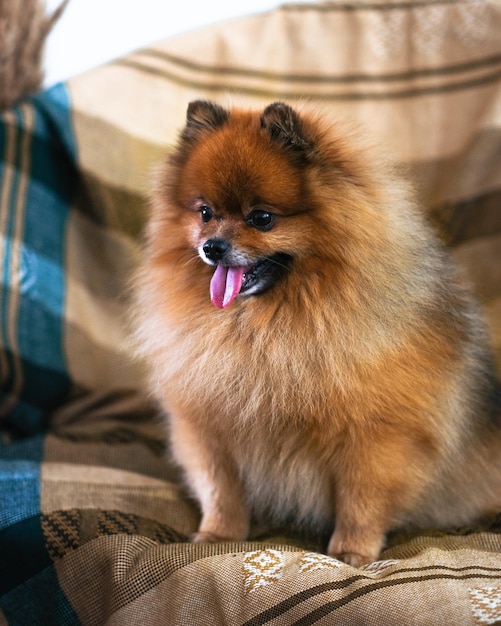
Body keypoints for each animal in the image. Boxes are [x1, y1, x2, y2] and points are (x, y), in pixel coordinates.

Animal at [133, 100, 500, 564]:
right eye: (205, 213)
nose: (212, 246)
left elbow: (362, 499)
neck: (271, 328)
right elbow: (220, 488)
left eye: (262, 218)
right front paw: (218, 534)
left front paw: (351, 552)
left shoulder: (379, 437)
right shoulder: (209, 425)